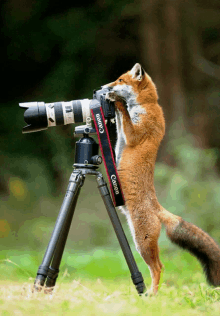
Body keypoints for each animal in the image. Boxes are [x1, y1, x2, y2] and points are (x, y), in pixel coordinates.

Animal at [104, 63, 220, 296]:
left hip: (141, 242)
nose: (104, 87)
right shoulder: (123, 134)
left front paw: (118, 102)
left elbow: (125, 117)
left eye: (119, 80)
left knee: (158, 267)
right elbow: (120, 124)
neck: (146, 105)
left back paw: (152, 295)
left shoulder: (136, 133)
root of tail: (157, 208)